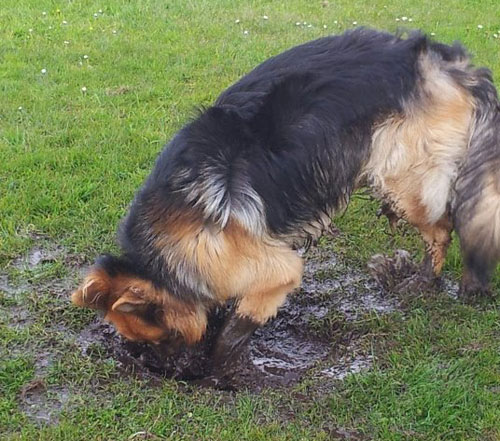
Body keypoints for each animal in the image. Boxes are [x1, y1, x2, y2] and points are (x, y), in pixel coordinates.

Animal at [71, 29, 500, 370]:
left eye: (159, 337)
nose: (163, 371)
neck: (162, 255)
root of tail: (444, 61)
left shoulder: (274, 269)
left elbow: (239, 323)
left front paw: (220, 369)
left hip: (405, 181)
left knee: (445, 226)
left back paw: (431, 281)